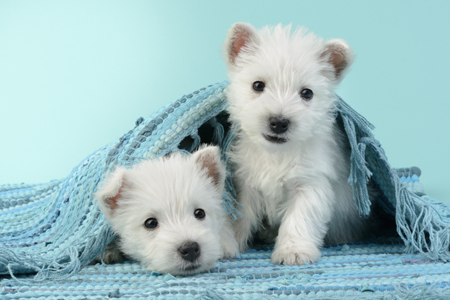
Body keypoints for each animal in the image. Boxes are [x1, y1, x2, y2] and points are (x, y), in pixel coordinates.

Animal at [224, 22, 372, 264]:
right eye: (258, 85)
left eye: (307, 93)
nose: (279, 122)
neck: (277, 152)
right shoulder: (245, 184)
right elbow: (239, 215)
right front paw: (228, 241)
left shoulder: (309, 184)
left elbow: (298, 219)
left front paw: (293, 251)